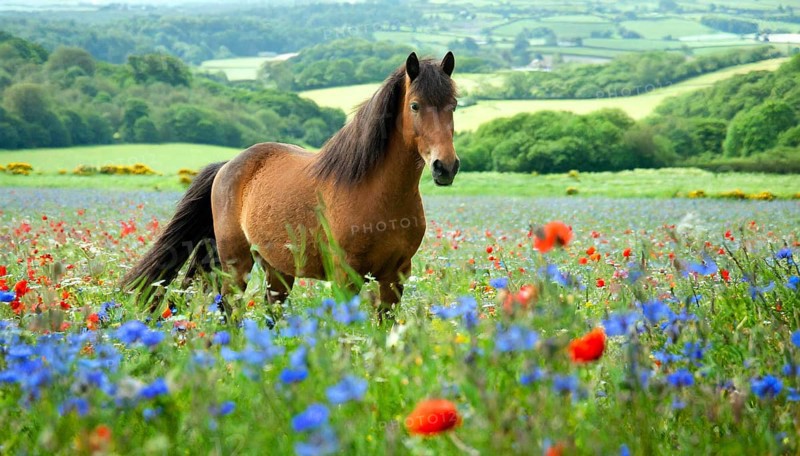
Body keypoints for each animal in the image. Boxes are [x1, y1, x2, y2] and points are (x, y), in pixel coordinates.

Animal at [121, 51, 460, 321]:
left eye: (454, 105)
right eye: (415, 106)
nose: (446, 167)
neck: (375, 193)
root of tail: (227, 166)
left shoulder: (394, 277)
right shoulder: (345, 277)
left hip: (276, 269)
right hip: (236, 263)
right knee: (230, 311)